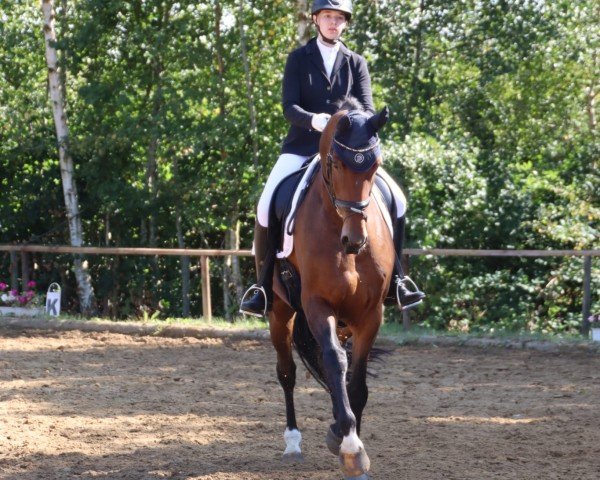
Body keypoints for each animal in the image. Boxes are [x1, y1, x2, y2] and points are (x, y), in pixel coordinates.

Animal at [270, 103, 396, 478]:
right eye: (337, 164)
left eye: (376, 166)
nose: (355, 240)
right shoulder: (317, 304)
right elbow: (335, 361)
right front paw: (350, 444)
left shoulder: (370, 313)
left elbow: (355, 377)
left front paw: (349, 440)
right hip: (279, 312)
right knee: (287, 372)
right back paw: (293, 443)